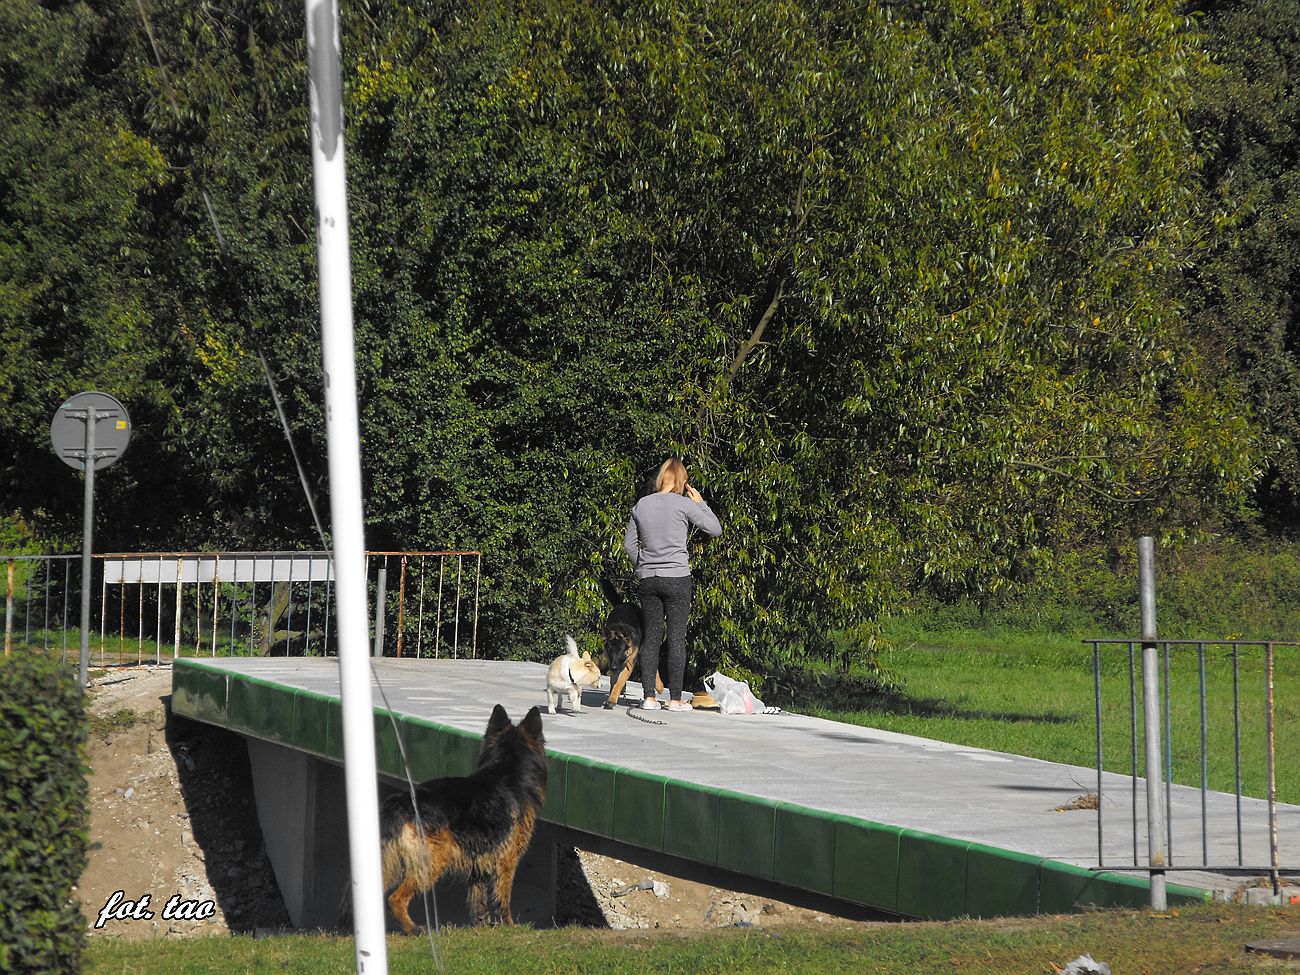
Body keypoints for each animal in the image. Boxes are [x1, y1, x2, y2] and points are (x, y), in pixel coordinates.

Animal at [382, 707, 551, 925]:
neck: (505, 772)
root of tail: (401, 801)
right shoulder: (507, 860)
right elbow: (502, 898)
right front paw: (509, 926)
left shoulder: (479, 862)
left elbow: (479, 902)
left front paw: (483, 927)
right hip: (434, 859)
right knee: (396, 899)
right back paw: (414, 929)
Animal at [595, 579, 660, 712]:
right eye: (609, 651)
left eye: (620, 650)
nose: (614, 668)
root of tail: (626, 604)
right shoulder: (611, 661)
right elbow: (614, 682)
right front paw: (611, 697)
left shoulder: (629, 663)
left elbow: (619, 682)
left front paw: (612, 700)